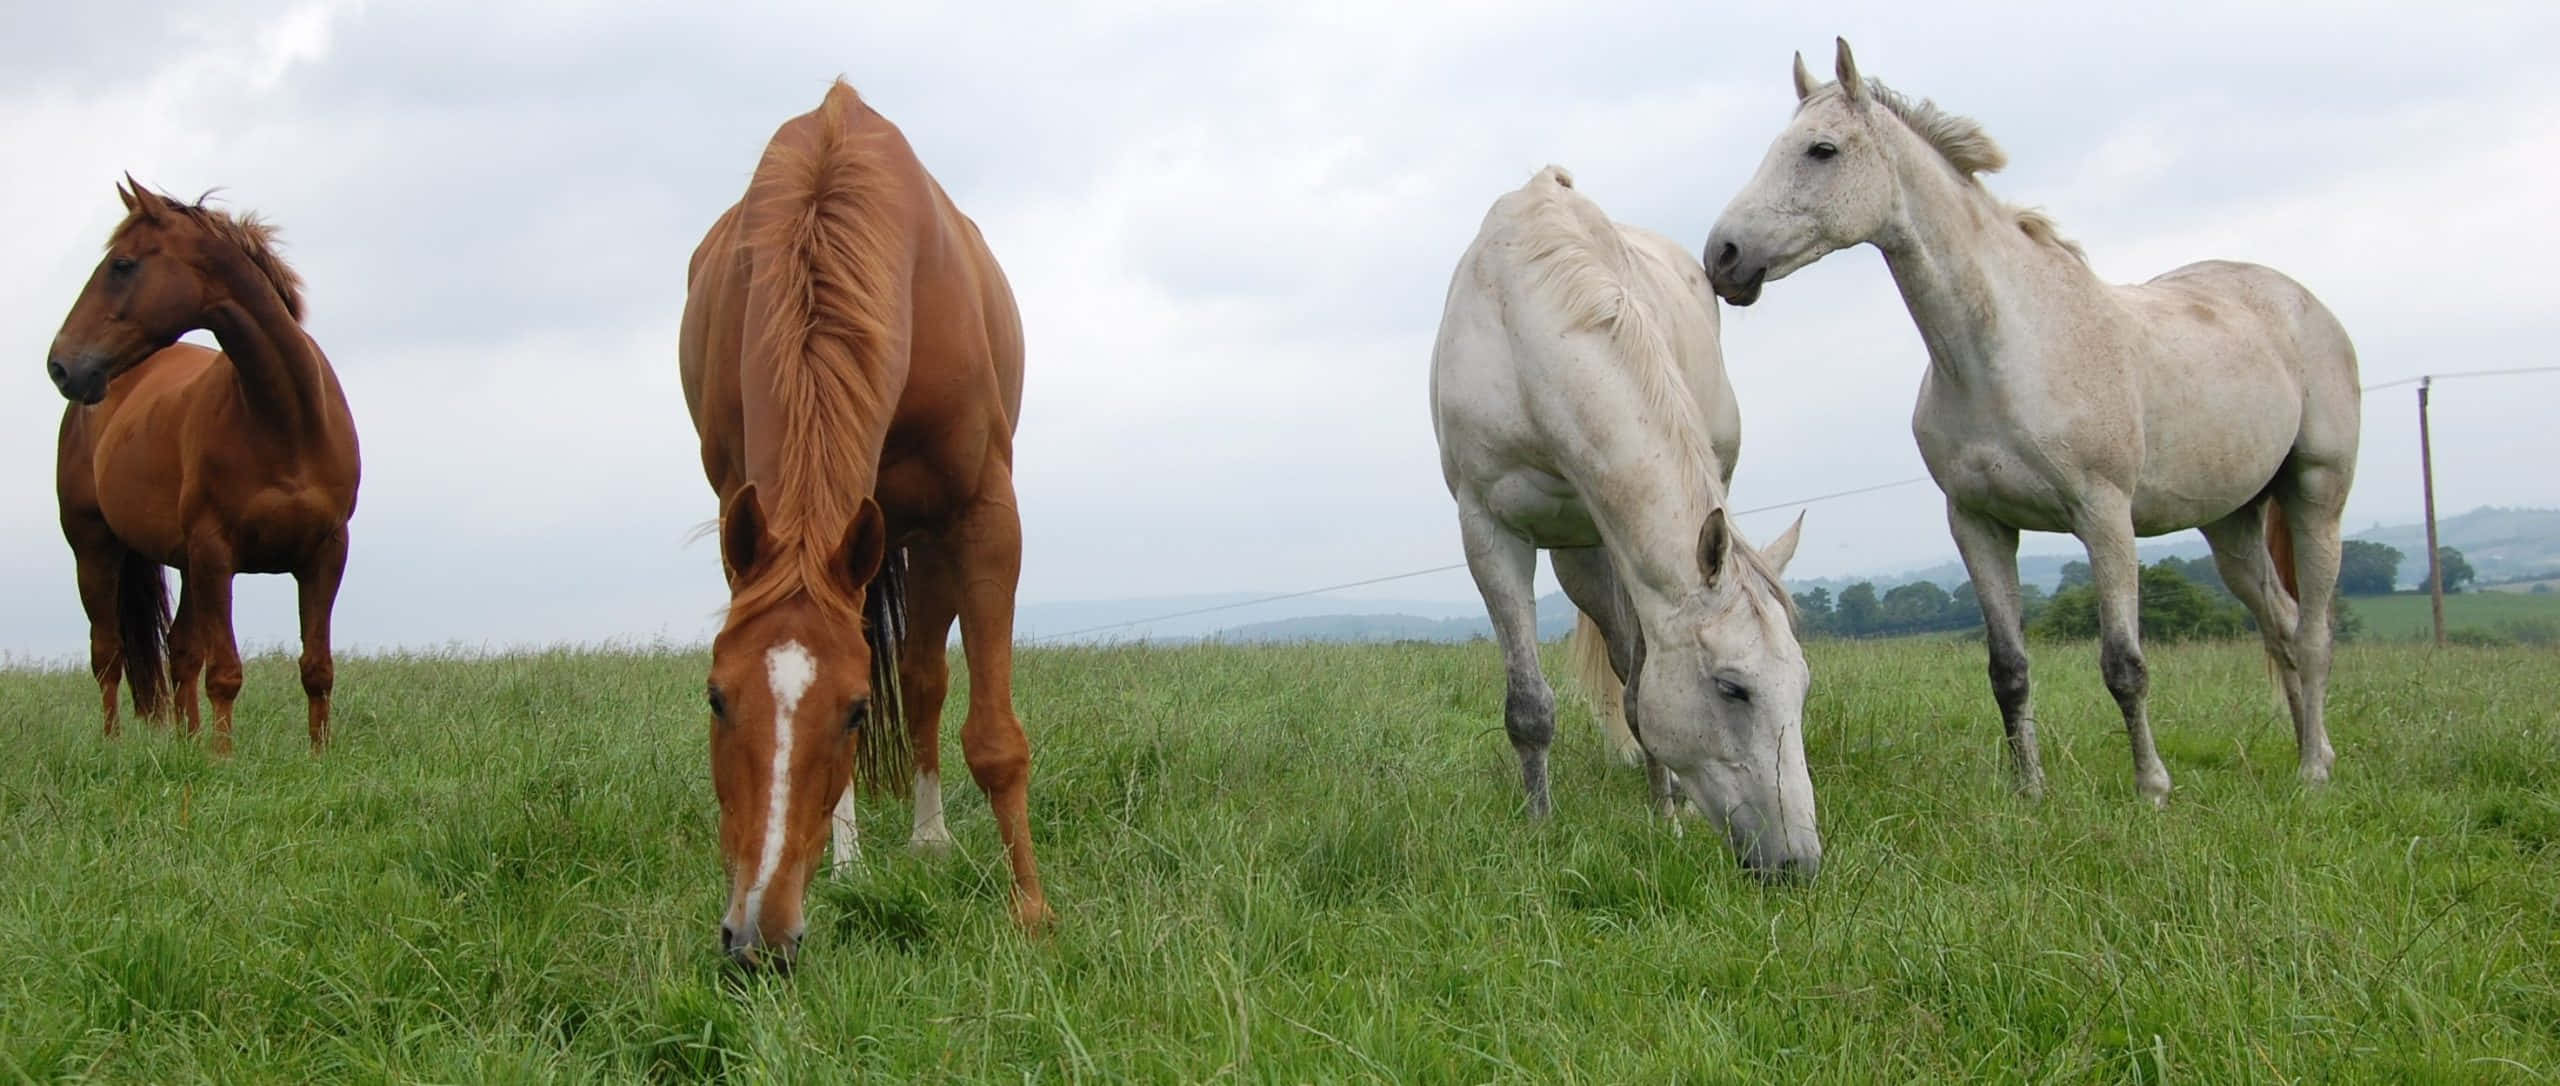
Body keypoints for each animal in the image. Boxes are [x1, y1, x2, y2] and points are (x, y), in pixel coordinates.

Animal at [46, 180, 360, 756]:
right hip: (95, 547)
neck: (284, 420)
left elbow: (317, 668)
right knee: (108, 653)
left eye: (122, 265)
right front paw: (223, 758)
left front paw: (319, 755)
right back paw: (114, 744)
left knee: (179, 650)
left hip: (186, 563)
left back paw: (186, 741)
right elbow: (226, 673)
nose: (61, 366)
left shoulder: (326, 552)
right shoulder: (217, 553)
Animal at [679, 80, 1048, 968]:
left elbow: (991, 735)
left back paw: (929, 839)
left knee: (922, 679)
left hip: (918, 538)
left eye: (850, 710)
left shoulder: (981, 515)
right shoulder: (747, 512)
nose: (758, 939)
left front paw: (1031, 912)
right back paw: (849, 860)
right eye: (715, 697)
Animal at [1431, 165, 1819, 879]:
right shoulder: (1488, 531)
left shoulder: (1623, 544)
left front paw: (1667, 818)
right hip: (1576, 556)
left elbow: (1641, 692)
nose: (1800, 863)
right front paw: (1540, 829)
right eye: (1732, 688)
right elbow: (1530, 707)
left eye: (1801, 686)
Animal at [1703, 41, 2360, 804]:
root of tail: (2300, 302)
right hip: (2231, 523)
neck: (2008, 349)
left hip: (2316, 495)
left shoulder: (2105, 519)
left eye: (1821, 149)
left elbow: (2124, 665)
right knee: (2280, 625)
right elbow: (2008, 669)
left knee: (2312, 633)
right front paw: (2029, 791)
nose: (1723, 256)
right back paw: (2308, 751)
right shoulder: (1978, 525)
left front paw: (2152, 788)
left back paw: (2314, 767)